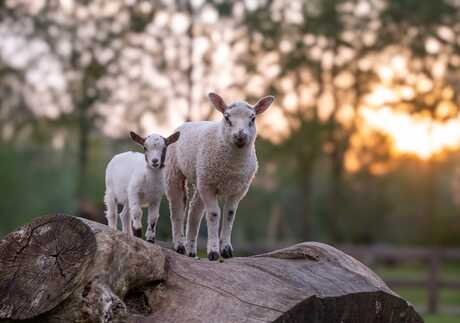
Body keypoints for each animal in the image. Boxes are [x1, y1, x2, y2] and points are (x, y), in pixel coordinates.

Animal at [164, 91, 274, 260]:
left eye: (253, 118)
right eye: (227, 117)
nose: (240, 135)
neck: (232, 167)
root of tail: (186, 124)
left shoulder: (239, 189)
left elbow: (229, 214)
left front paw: (226, 250)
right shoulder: (209, 186)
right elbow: (214, 214)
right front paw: (214, 252)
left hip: (200, 178)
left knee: (194, 211)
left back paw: (191, 250)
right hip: (175, 172)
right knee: (176, 209)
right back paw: (179, 246)